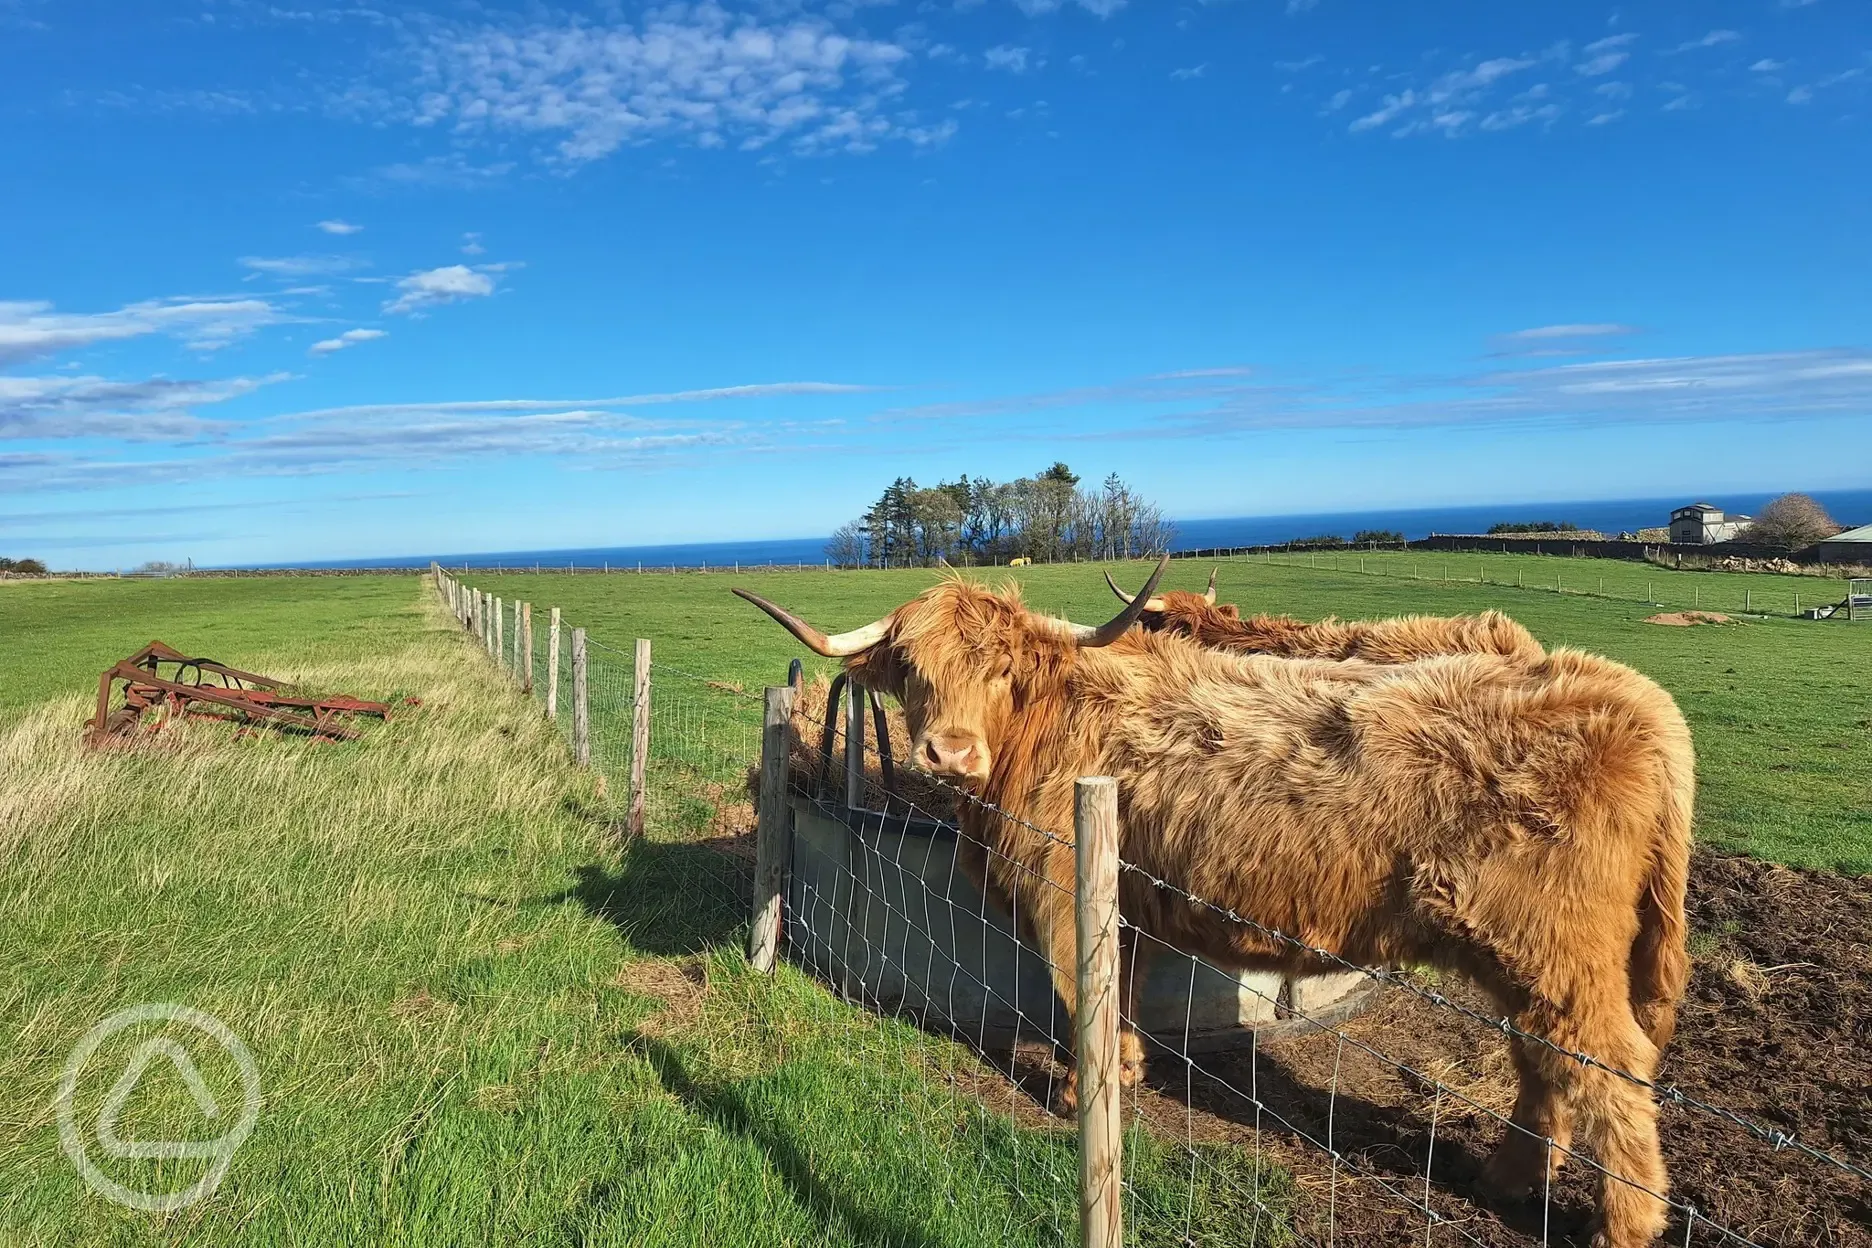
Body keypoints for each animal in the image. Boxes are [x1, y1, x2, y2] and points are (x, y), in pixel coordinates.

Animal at [735, 557, 1694, 1247]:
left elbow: (1079, 993)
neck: (1047, 725)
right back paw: (1510, 1176)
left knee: (1608, 1068)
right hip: (1522, 956)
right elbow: (1118, 985)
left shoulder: (1060, 885)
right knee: (1545, 1060)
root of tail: (1632, 698)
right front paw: (1125, 1069)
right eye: (912, 671)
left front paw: (1084, 1095)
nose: (947, 753)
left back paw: (1622, 1225)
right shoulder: (1126, 891)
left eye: (1001, 669)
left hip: (1554, 951)